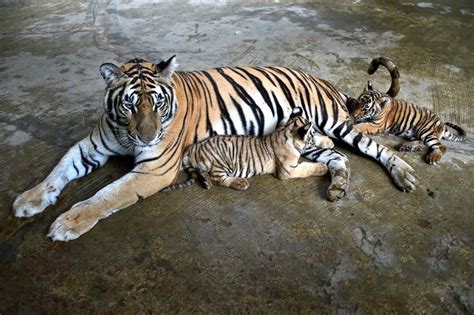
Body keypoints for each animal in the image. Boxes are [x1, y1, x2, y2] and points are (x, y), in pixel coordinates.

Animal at [12, 56, 416, 242]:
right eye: (130, 105)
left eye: (157, 104)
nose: (146, 137)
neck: (125, 133)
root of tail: (325, 81)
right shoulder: (91, 145)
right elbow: (58, 170)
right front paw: (29, 199)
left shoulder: (153, 169)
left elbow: (106, 195)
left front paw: (68, 222)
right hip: (308, 140)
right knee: (336, 155)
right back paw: (337, 188)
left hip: (333, 122)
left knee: (372, 148)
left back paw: (404, 175)